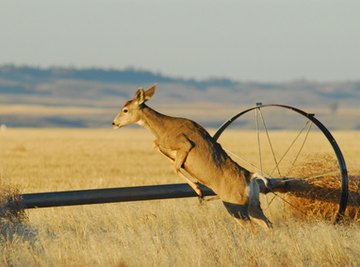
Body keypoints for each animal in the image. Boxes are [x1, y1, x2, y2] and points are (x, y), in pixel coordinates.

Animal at [112, 84, 272, 230]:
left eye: (125, 109)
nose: (114, 123)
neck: (164, 127)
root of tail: (251, 177)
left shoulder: (185, 144)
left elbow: (174, 166)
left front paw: (199, 191)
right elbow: (157, 146)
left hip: (236, 206)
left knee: (253, 228)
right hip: (254, 205)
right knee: (268, 224)